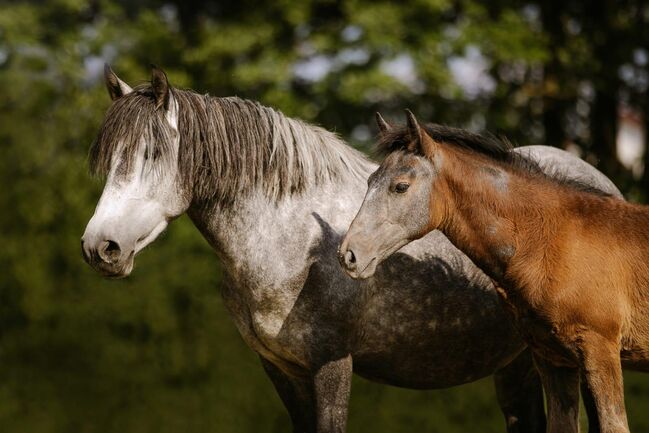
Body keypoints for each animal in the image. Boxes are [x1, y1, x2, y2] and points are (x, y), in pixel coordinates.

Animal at [81, 65, 616, 432]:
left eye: (152, 153)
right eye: (110, 158)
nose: (100, 247)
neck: (291, 239)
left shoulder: (332, 365)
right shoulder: (282, 370)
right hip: (518, 365)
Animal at [340, 111, 648, 432]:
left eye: (400, 186)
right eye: (370, 181)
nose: (349, 254)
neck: (555, 240)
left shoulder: (599, 350)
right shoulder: (553, 357)